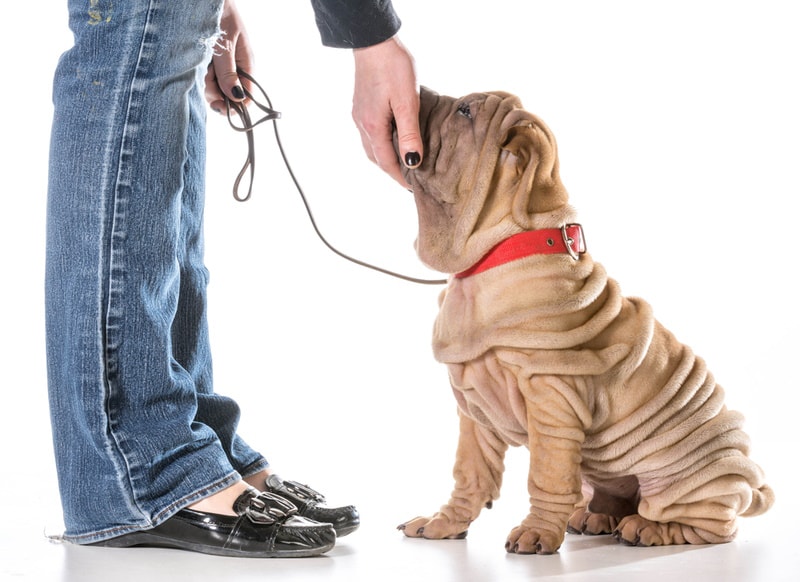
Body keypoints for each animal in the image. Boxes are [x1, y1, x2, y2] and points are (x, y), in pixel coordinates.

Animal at [396, 88, 772, 556]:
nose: (418, 92)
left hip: (688, 481)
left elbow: (547, 476)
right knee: (610, 495)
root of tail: (749, 485)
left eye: (465, 111)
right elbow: (470, 473)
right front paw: (443, 523)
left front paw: (537, 532)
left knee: (710, 526)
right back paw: (596, 517)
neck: (497, 250)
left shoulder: (552, 399)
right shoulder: (473, 406)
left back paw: (648, 528)